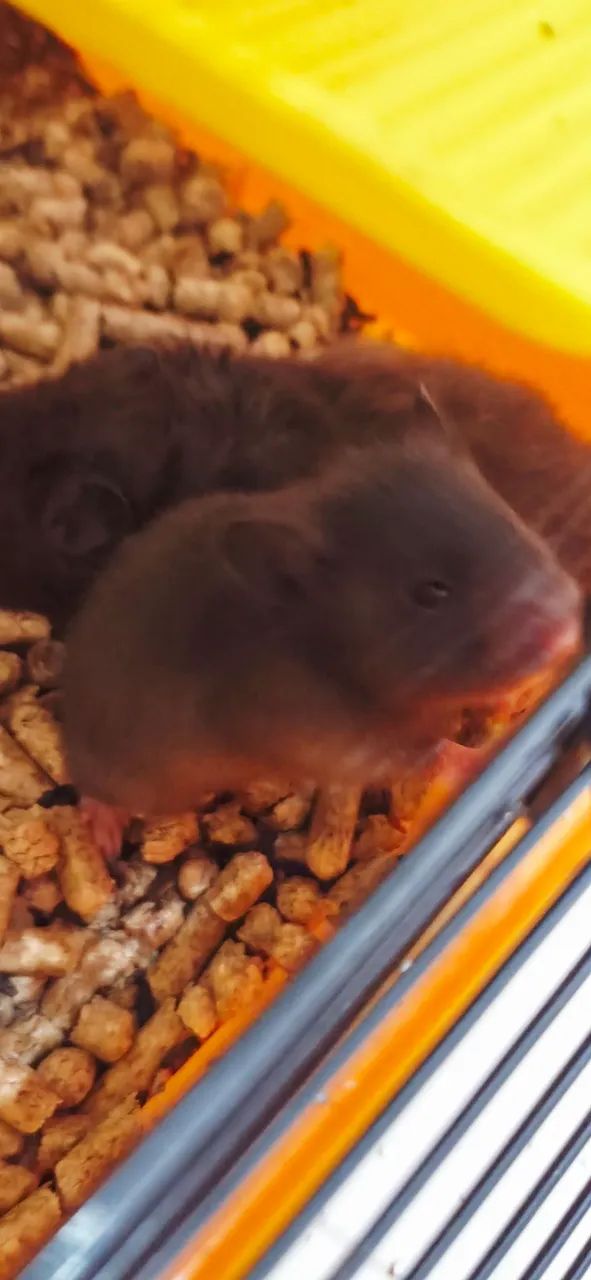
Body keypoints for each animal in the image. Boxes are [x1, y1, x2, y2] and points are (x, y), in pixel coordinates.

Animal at [63, 425, 580, 817]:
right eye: (430, 591)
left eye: (510, 518)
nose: (569, 633)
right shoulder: (337, 740)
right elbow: (433, 754)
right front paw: (491, 756)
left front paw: (523, 696)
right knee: (96, 792)